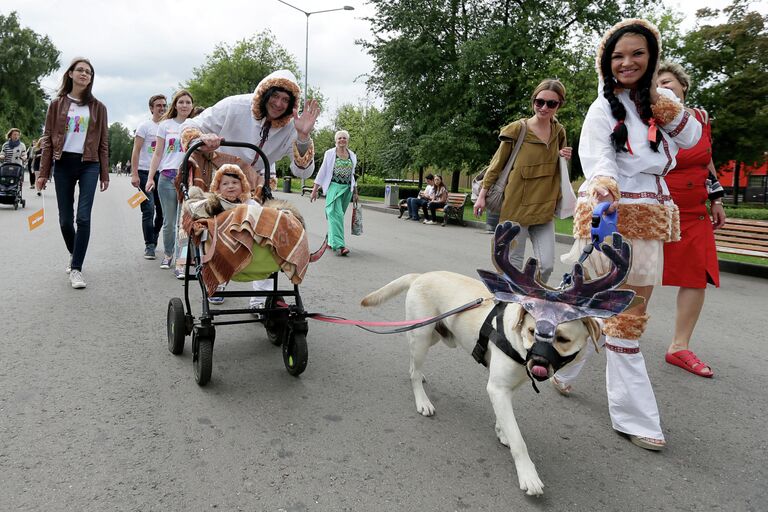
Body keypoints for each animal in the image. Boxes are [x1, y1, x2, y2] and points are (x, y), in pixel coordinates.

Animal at [360, 270, 600, 498]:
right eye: (533, 332)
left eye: (563, 339)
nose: (538, 362)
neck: (518, 340)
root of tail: (421, 275)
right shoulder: (498, 388)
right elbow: (519, 440)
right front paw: (528, 475)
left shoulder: (506, 387)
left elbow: (505, 420)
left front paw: (502, 431)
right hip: (422, 335)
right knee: (414, 370)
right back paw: (422, 400)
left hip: (434, 334)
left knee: (413, 365)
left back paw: (420, 375)